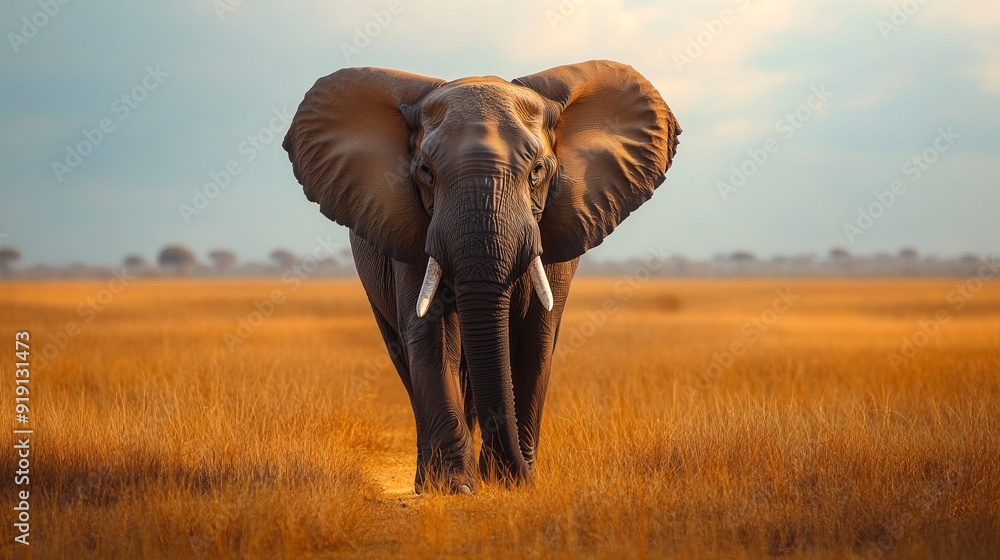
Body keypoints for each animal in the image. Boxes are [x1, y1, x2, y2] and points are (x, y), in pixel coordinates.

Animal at [283, 60, 680, 494]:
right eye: (426, 173)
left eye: (537, 171)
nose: (518, 469)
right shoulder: (411, 230)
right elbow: (433, 337)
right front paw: (455, 486)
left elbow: (534, 341)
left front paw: (511, 482)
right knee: (404, 354)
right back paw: (429, 480)